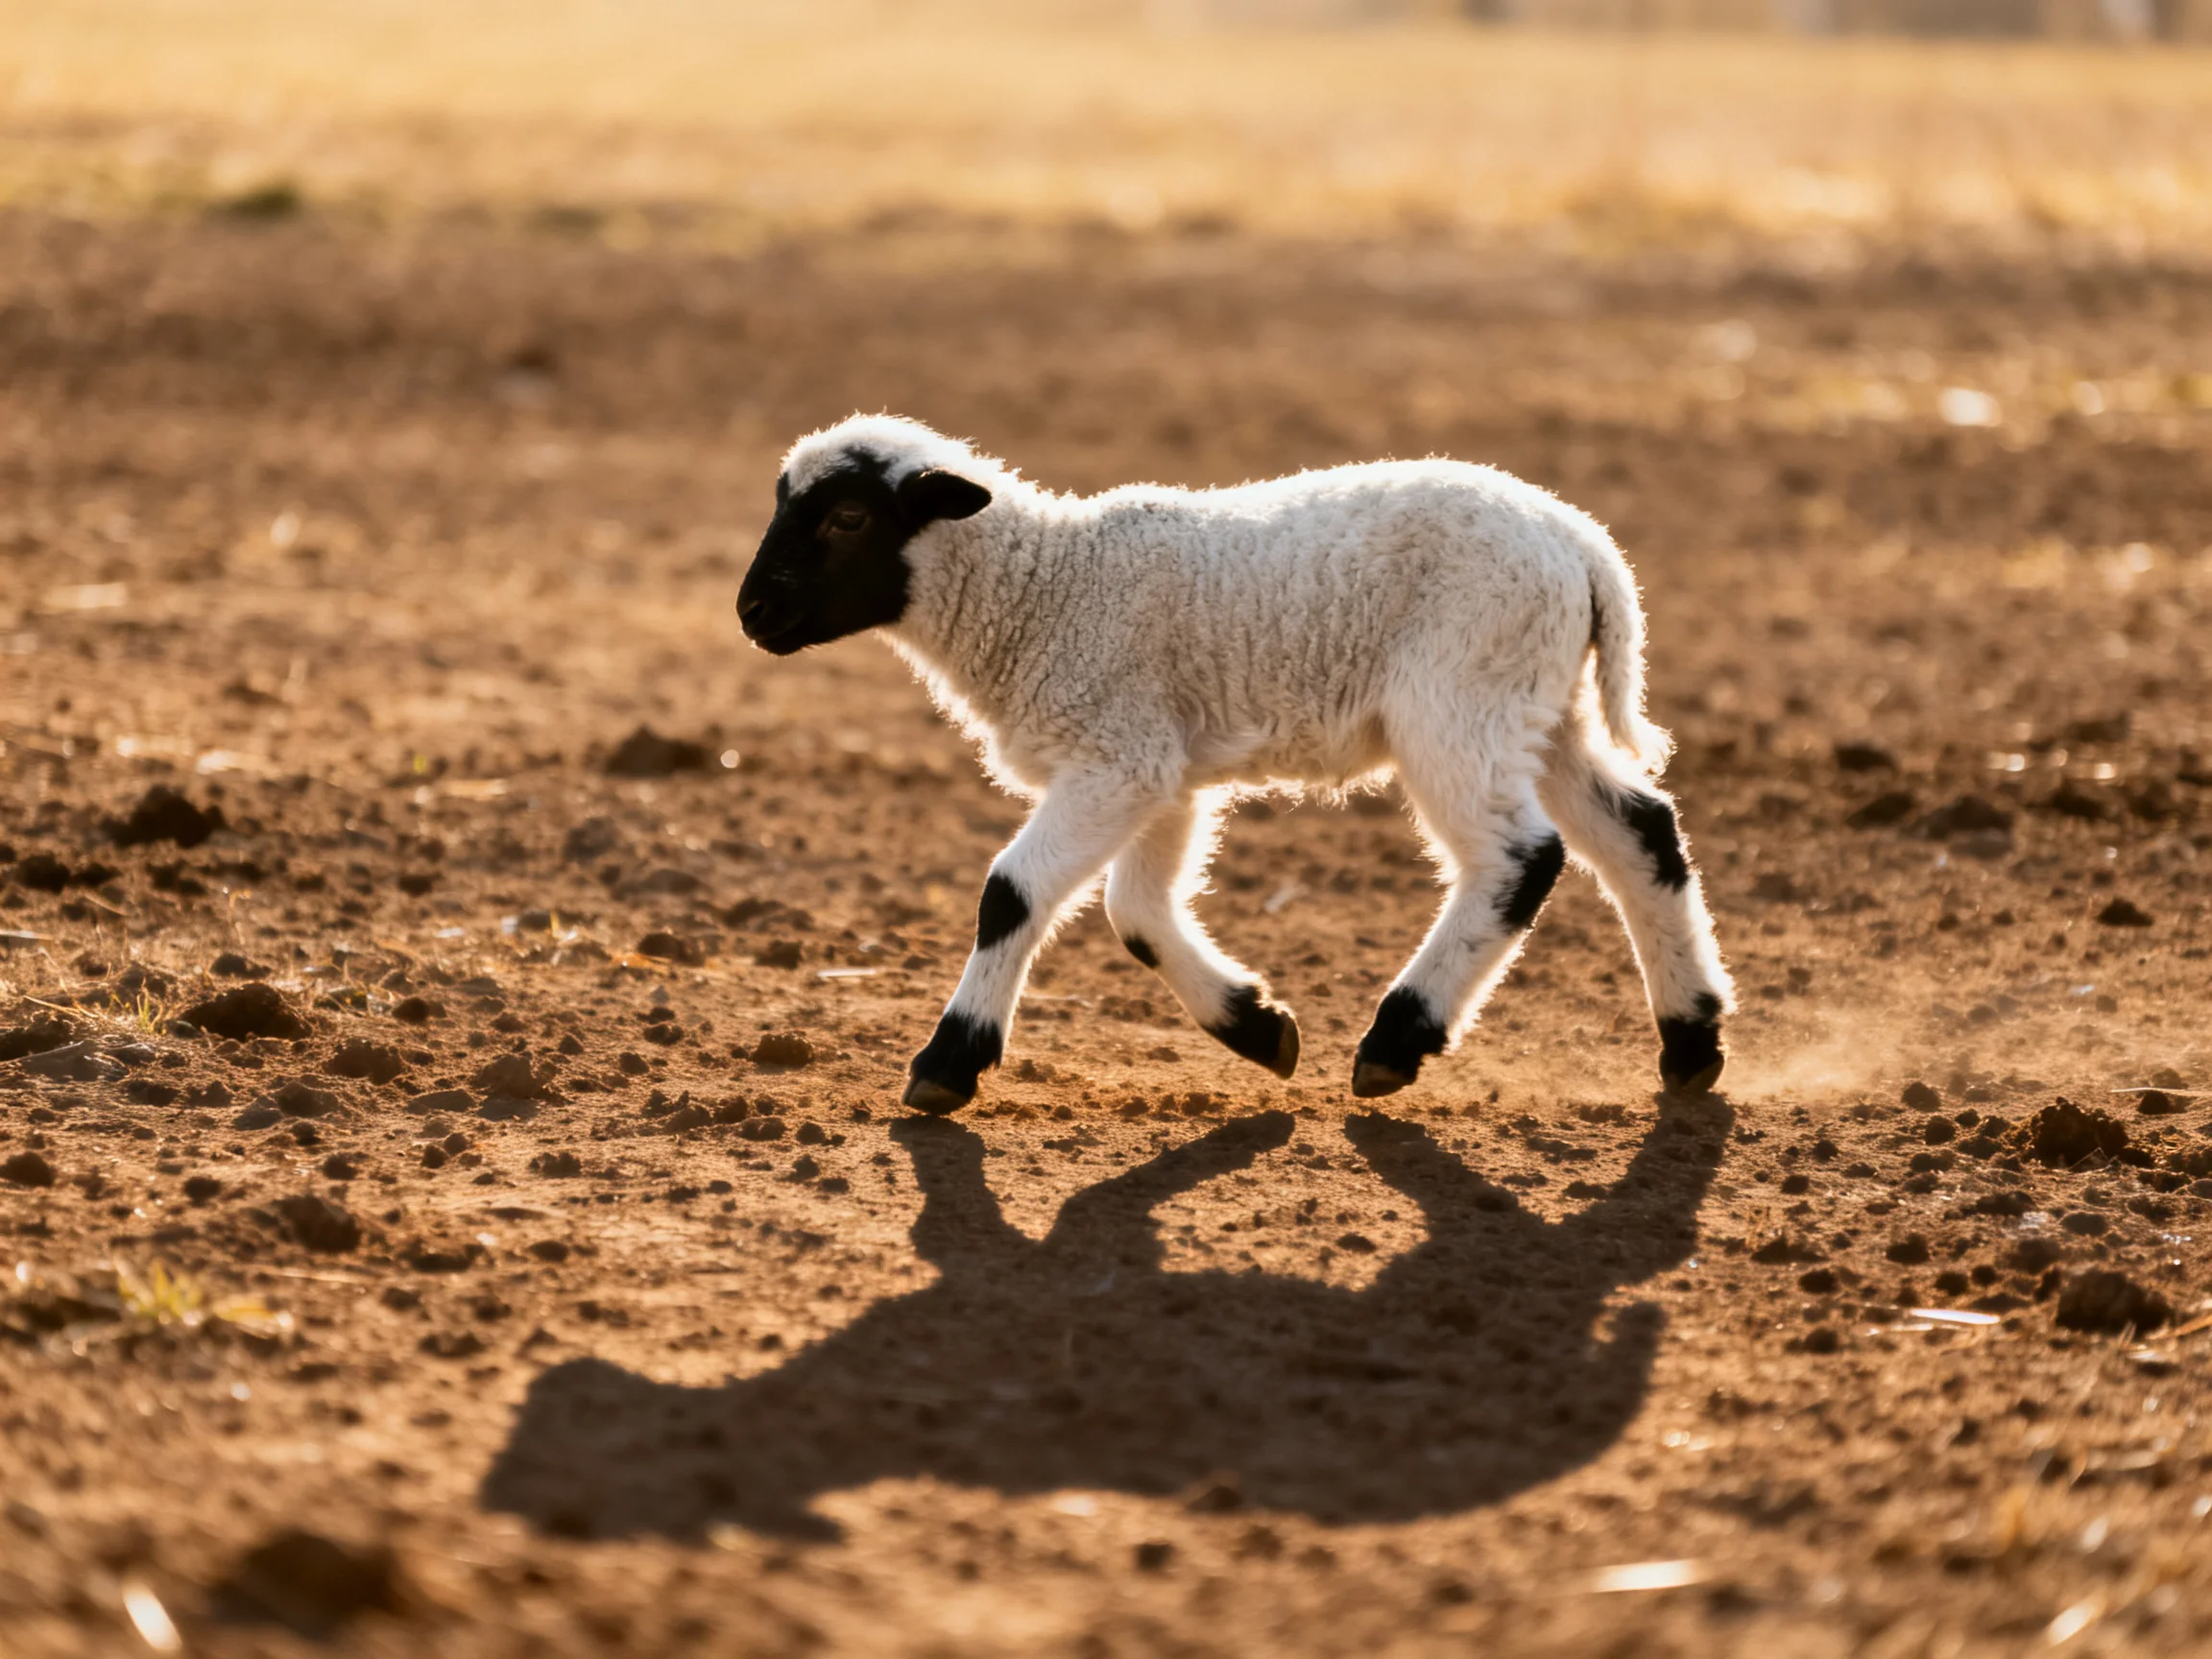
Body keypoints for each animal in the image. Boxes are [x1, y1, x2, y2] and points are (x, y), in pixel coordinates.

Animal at [737, 414, 1733, 1114]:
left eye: (848, 517)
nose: (752, 614)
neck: (1043, 589)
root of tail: (1585, 547)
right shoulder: (1162, 769)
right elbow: (1137, 914)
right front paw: (1258, 1028)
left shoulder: (1118, 754)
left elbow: (1011, 894)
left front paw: (949, 1064)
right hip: (1542, 705)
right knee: (1640, 832)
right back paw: (1692, 1043)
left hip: (1461, 696)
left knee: (1521, 858)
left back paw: (1398, 1039)